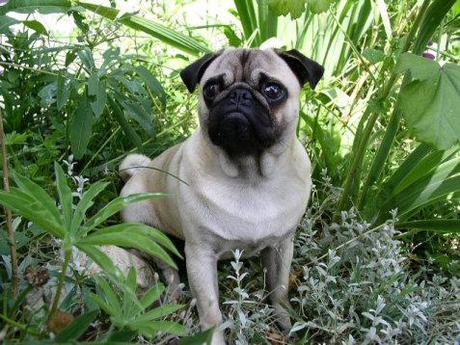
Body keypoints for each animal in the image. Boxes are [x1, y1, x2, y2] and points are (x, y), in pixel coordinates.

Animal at [118, 47, 324, 342]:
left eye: (273, 90)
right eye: (212, 88)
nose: (239, 94)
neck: (250, 177)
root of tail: (136, 174)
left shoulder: (281, 245)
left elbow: (279, 289)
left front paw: (287, 325)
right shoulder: (201, 254)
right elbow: (211, 312)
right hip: (149, 235)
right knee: (168, 269)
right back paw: (173, 297)